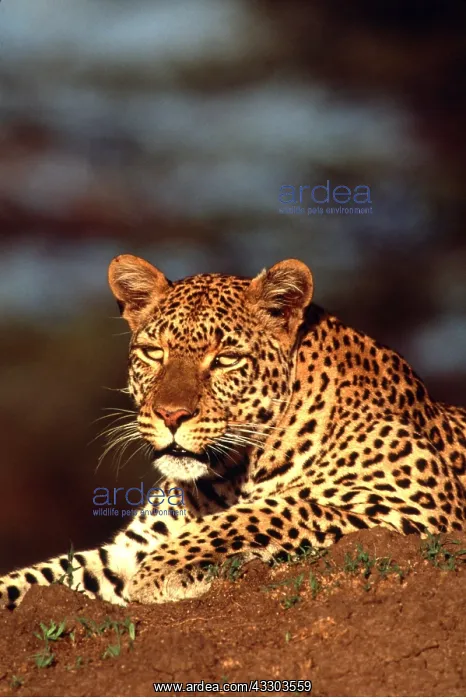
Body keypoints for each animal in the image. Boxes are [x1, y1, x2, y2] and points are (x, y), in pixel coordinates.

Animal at [1, 255, 466, 610]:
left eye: (225, 358)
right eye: (153, 353)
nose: (171, 415)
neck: (230, 472)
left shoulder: (418, 503)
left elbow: (271, 511)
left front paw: (165, 573)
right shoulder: (126, 549)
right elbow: (49, 574)